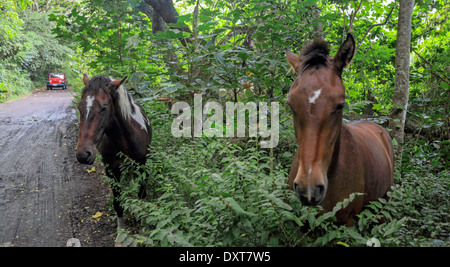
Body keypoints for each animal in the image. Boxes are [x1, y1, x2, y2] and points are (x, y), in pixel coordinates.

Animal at [74, 75, 151, 230]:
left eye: (104, 107)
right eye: (79, 107)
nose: (83, 154)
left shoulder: (142, 166)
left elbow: (142, 196)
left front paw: (144, 227)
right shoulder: (111, 170)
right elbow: (117, 202)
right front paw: (121, 232)